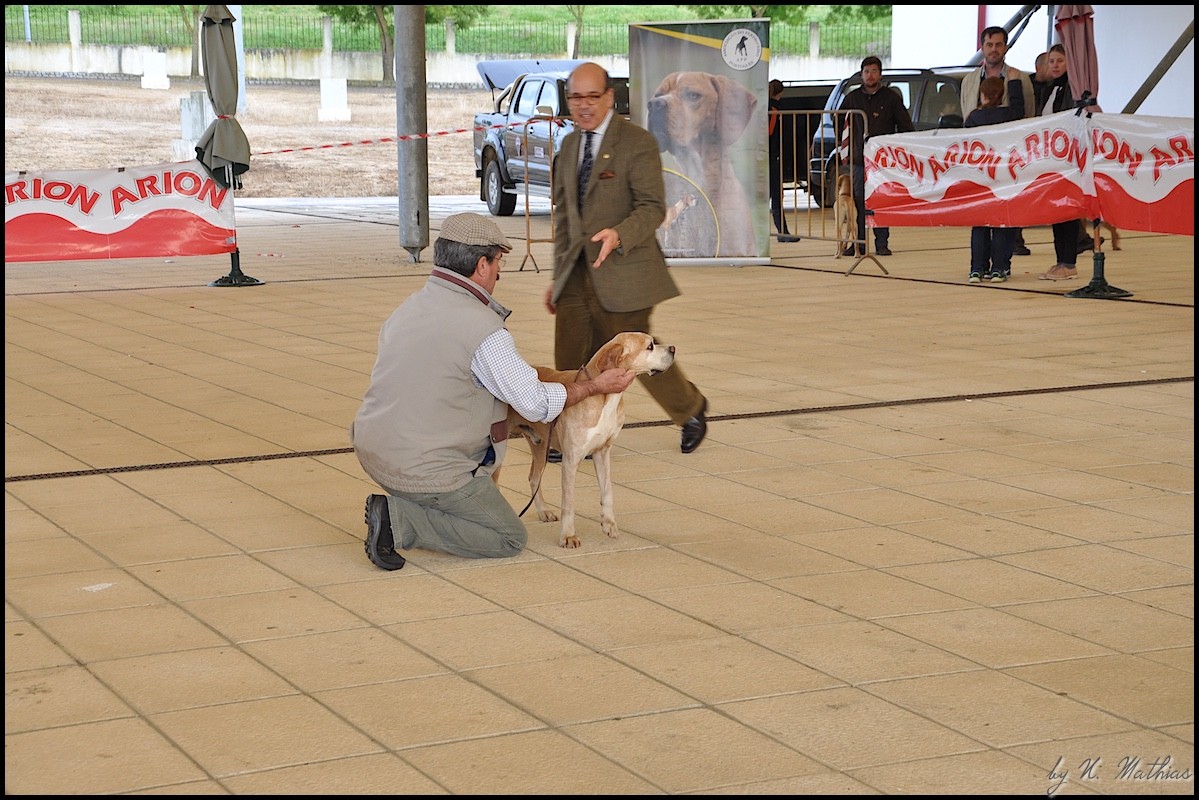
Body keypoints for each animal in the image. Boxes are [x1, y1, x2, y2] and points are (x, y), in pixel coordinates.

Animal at [496, 332, 676, 549]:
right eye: (650, 346)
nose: (673, 348)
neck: (606, 399)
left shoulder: (602, 452)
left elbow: (607, 491)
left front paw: (609, 523)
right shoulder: (571, 460)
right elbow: (568, 502)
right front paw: (568, 536)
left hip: (540, 445)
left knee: (534, 477)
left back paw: (543, 511)